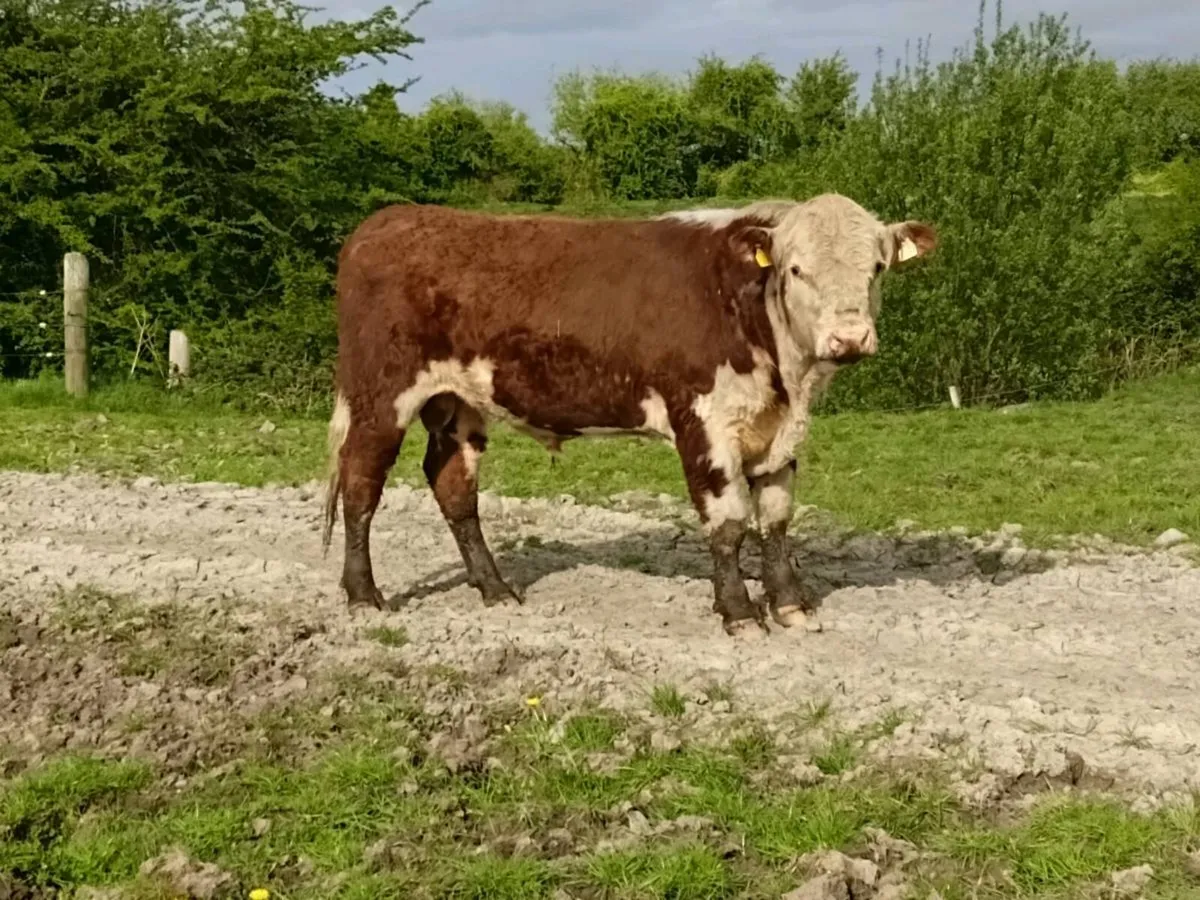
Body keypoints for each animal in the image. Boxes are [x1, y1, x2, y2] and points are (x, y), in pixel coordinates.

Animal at [321, 193, 937, 637]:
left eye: (877, 267)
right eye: (795, 270)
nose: (849, 337)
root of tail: (389, 220)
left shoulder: (777, 433)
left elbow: (777, 518)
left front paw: (790, 606)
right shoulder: (703, 422)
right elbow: (729, 522)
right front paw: (739, 613)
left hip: (459, 402)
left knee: (453, 485)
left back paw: (494, 589)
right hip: (380, 395)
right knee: (361, 484)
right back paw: (364, 596)